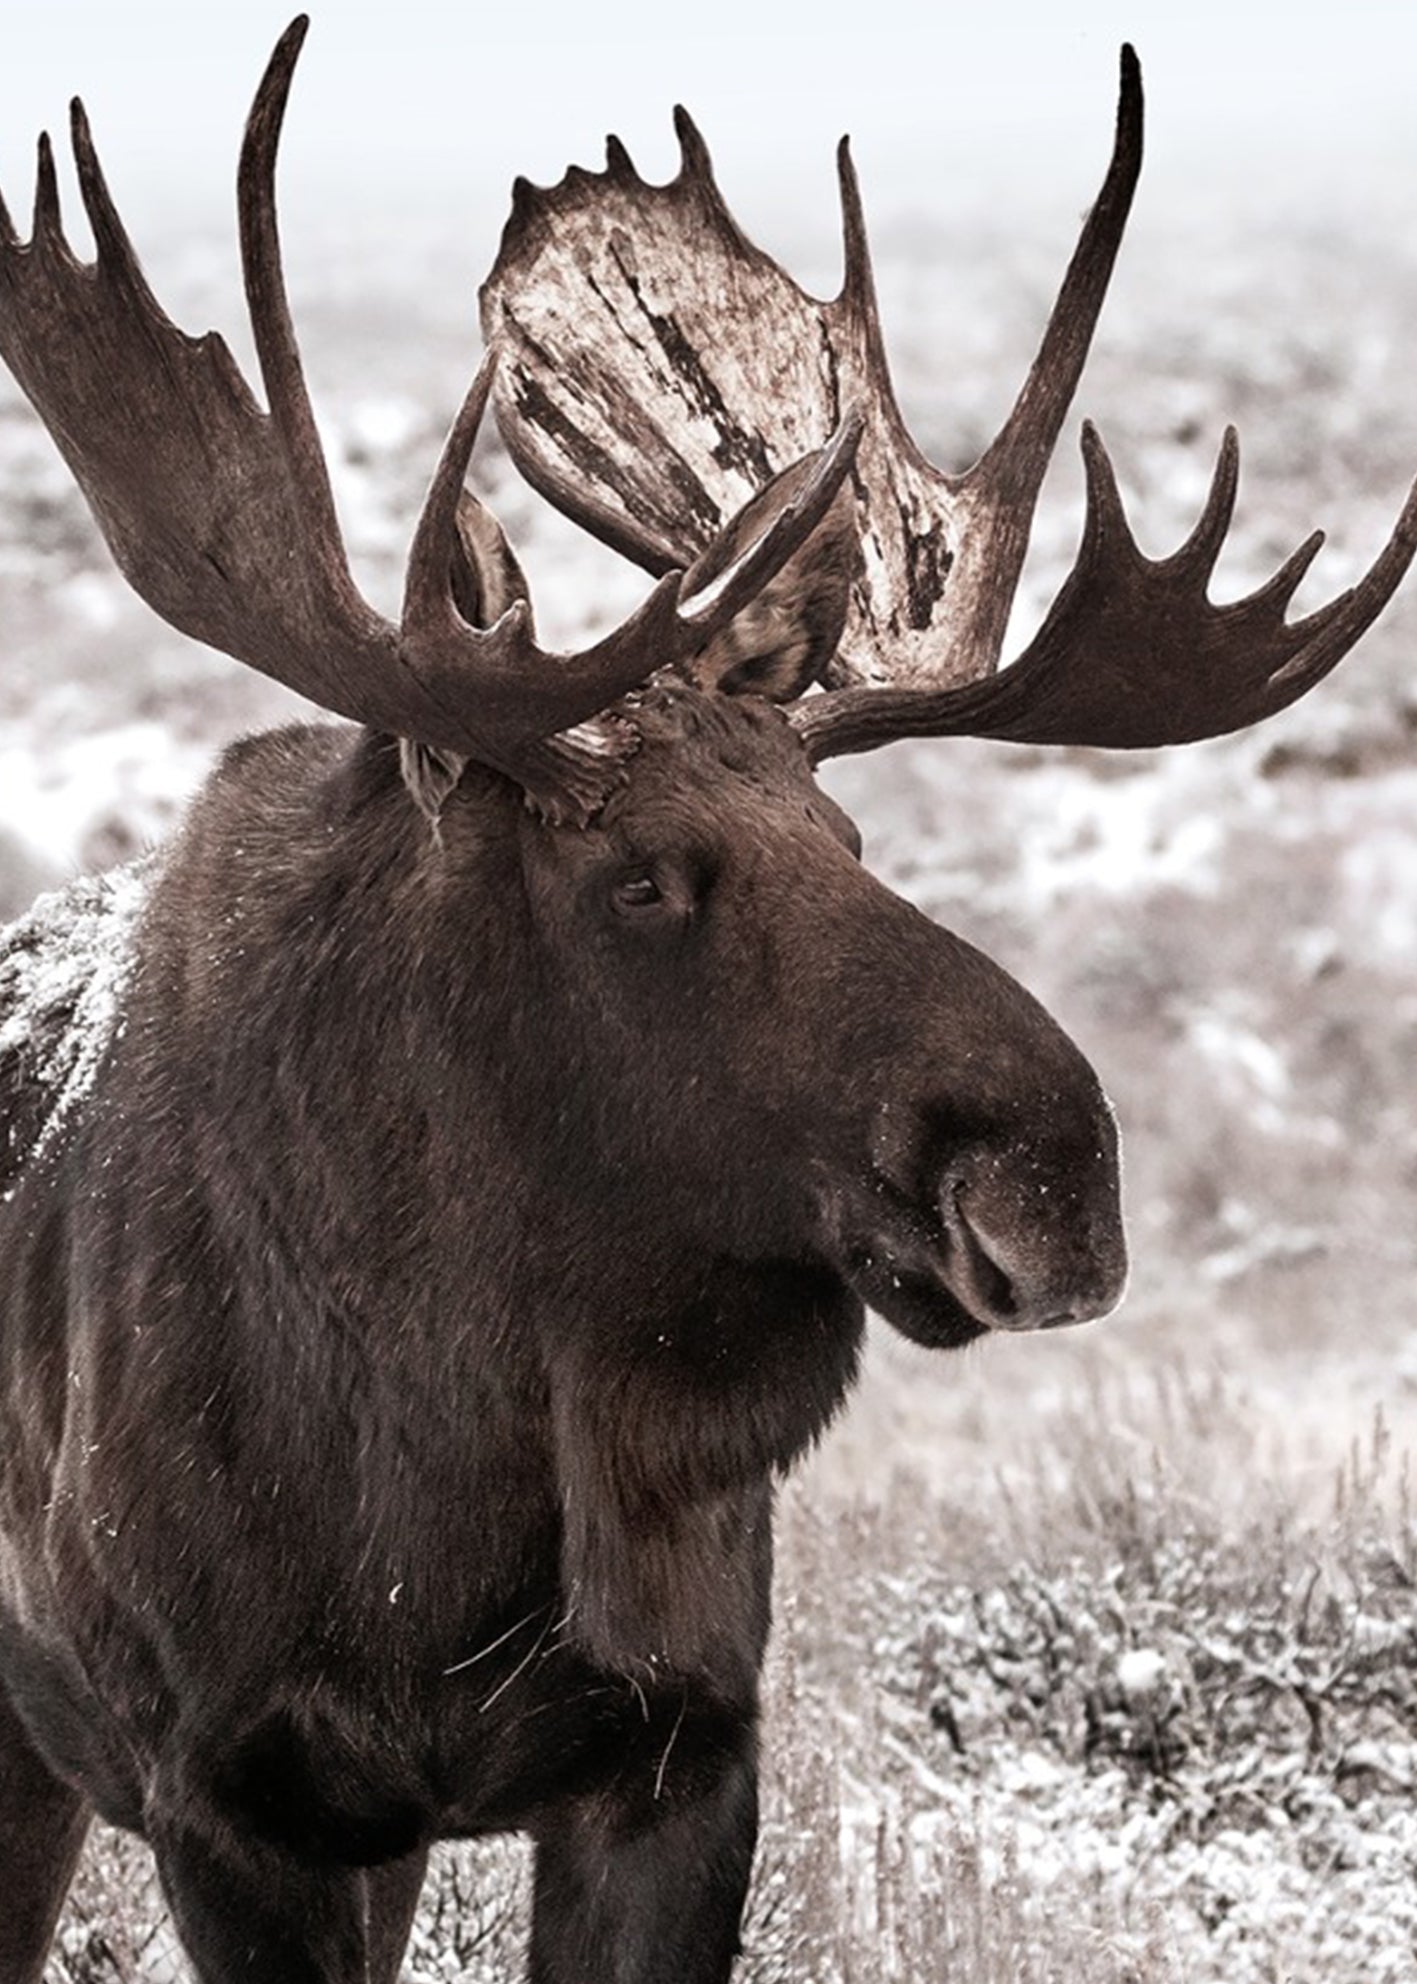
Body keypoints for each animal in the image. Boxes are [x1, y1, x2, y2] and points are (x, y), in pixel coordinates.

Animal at [0, 18, 1412, 1984]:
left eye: (846, 831)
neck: (451, 1494)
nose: (1055, 1174)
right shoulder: (230, 1787)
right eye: (640, 878)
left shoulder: (676, 1748)